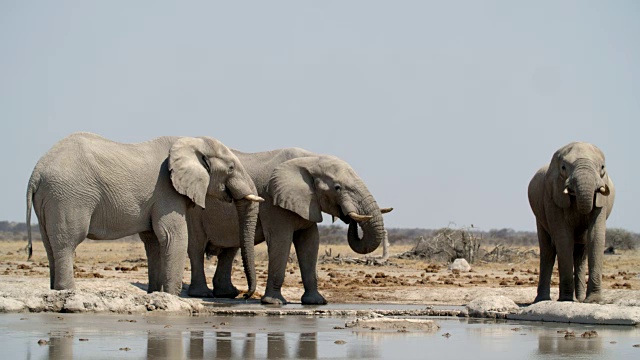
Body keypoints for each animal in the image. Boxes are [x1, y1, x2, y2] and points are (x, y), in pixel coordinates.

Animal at [26, 132, 262, 296]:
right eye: (231, 168)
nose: (246, 295)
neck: (190, 141)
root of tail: (36, 172)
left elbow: (154, 241)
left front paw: (155, 294)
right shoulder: (166, 191)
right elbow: (172, 236)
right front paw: (172, 297)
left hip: (50, 199)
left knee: (50, 245)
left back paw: (55, 292)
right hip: (68, 197)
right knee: (67, 243)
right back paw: (67, 292)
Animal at [185, 148, 390, 304]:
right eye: (338, 188)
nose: (349, 218)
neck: (311, 160)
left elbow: (310, 242)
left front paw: (316, 302)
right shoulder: (273, 202)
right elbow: (280, 241)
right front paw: (274, 303)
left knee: (230, 250)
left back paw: (228, 294)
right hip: (193, 209)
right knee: (196, 247)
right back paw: (203, 294)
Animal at [524, 141, 616, 304]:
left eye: (602, 167)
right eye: (563, 167)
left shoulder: (601, 200)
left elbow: (595, 236)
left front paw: (593, 301)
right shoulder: (553, 196)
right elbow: (563, 238)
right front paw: (566, 300)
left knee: (580, 254)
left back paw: (579, 299)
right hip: (540, 216)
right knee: (548, 250)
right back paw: (543, 300)